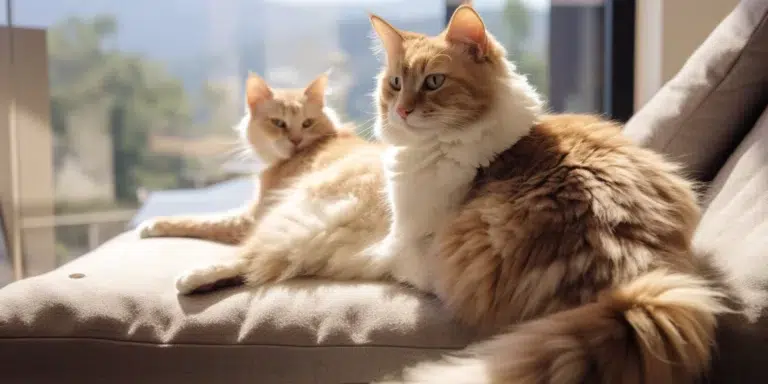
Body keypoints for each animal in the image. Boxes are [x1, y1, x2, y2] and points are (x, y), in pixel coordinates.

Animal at [136, 71, 390, 294]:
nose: (295, 140)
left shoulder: (252, 215)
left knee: (251, 258)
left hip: (295, 215)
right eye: (278, 123)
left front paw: (152, 224)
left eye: (307, 123)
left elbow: (201, 220)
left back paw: (192, 278)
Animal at [366, 6, 732, 384]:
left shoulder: (412, 240)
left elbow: (386, 253)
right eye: (396, 83)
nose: (401, 111)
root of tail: (628, 284)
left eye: (434, 82)